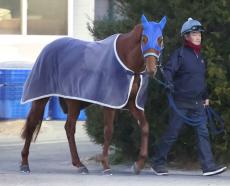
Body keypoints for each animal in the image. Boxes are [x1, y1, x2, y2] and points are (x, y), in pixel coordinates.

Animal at [19, 14, 166, 174]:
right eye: (144, 38)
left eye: (160, 39)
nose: (151, 69)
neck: (127, 62)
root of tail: (48, 47)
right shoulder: (110, 104)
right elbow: (108, 131)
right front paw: (106, 165)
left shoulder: (133, 104)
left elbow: (145, 127)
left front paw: (138, 164)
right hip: (42, 98)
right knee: (33, 125)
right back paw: (25, 164)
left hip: (73, 101)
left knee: (69, 128)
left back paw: (79, 164)